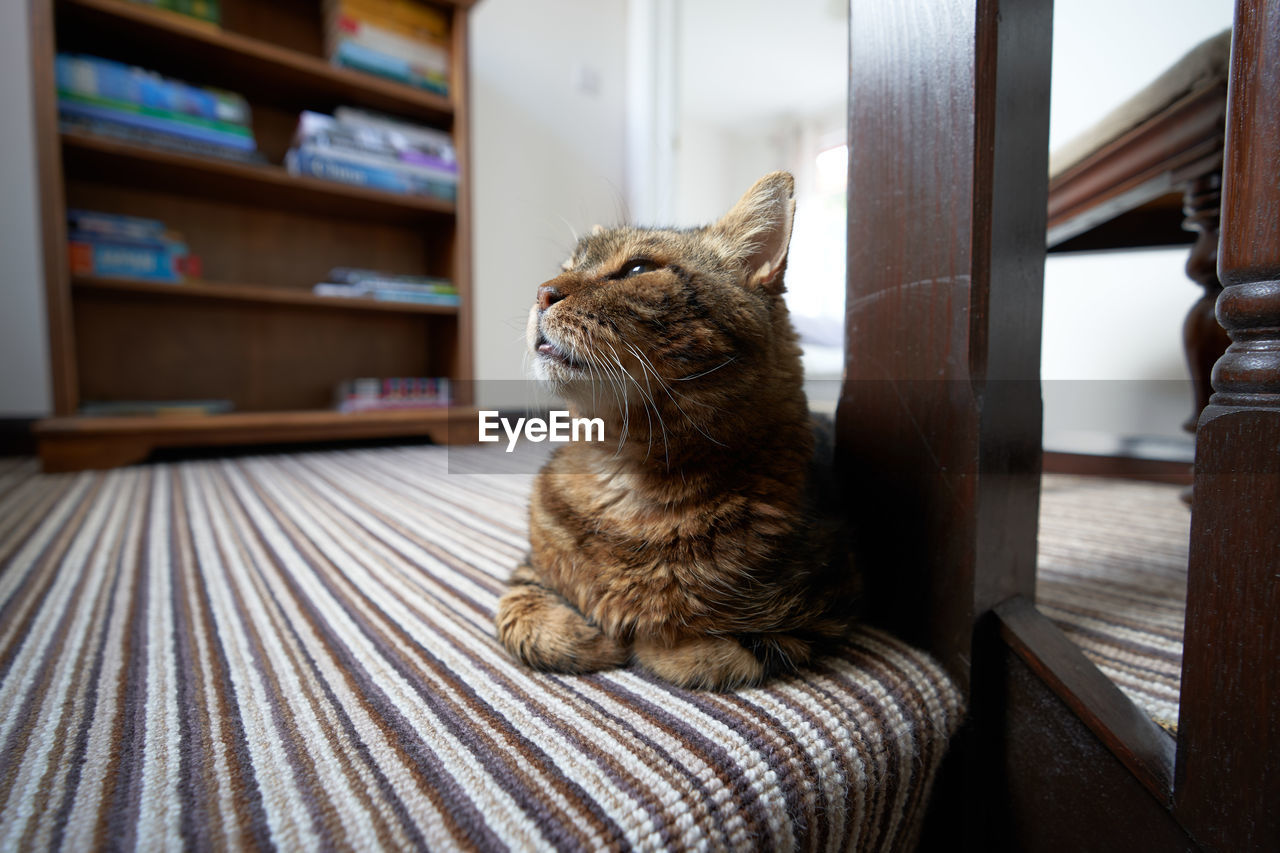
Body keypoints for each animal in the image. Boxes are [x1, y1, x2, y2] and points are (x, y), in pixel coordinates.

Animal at [491, 169, 860, 686]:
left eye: (637, 270)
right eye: (563, 267)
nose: (542, 291)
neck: (625, 473)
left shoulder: (825, 610)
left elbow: (710, 655)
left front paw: (646, 642)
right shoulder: (528, 568)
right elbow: (521, 612)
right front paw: (587, 637)